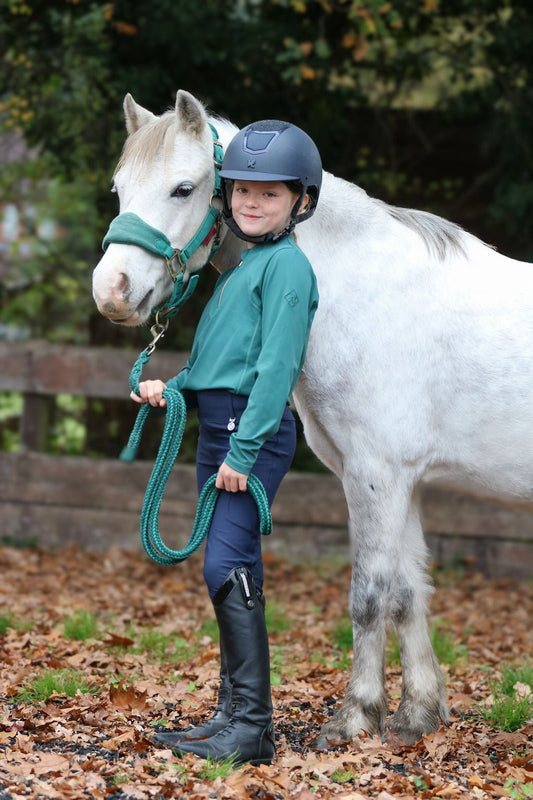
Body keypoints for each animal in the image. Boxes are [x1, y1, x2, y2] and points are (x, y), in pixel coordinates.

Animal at [92, 90, 532, 748]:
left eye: (182, 188)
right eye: (119, 189)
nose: (111, 291)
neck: (362, 290)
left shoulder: (376, 475)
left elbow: (370, 596)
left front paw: (355, 719)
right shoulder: (402, 481)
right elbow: (409, 591)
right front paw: (416, 716)